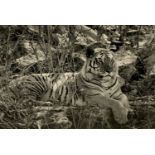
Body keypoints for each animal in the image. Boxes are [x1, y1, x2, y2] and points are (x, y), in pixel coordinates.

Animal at [0, 42, 131, 124]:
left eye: (111, 60)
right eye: (100, 61)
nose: (109, 70)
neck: (106, 81)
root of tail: (10, 83)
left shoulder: (119, 94)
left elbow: (124, 100)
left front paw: (126, 111)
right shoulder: (94, 96)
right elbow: (113, 102)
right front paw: (121, 118)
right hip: (38, 83)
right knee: (26, 102)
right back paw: (49, 103)